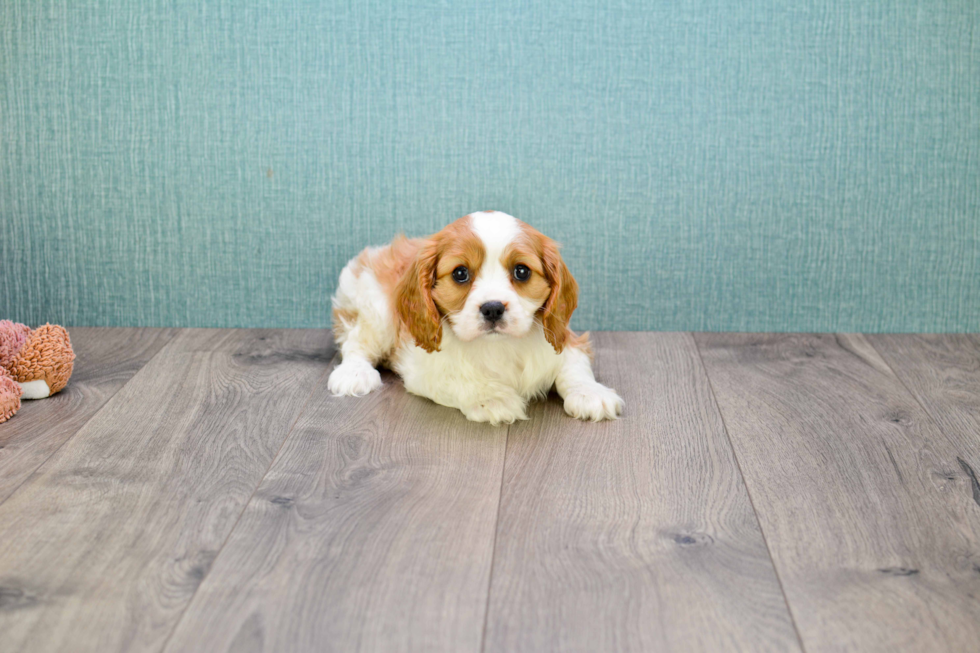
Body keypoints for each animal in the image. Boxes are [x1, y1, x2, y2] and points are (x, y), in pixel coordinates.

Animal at [328, 209, 620, 422]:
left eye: (522, 271)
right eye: (460, 273)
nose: (493, 308)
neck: (499, 346)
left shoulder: (566, 339)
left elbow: (575, 367)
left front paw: (591, 393)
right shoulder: (422, 368)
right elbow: (457, 380)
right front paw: (491, 398)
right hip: (377, 312)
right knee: (356, 343)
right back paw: (354, 373)